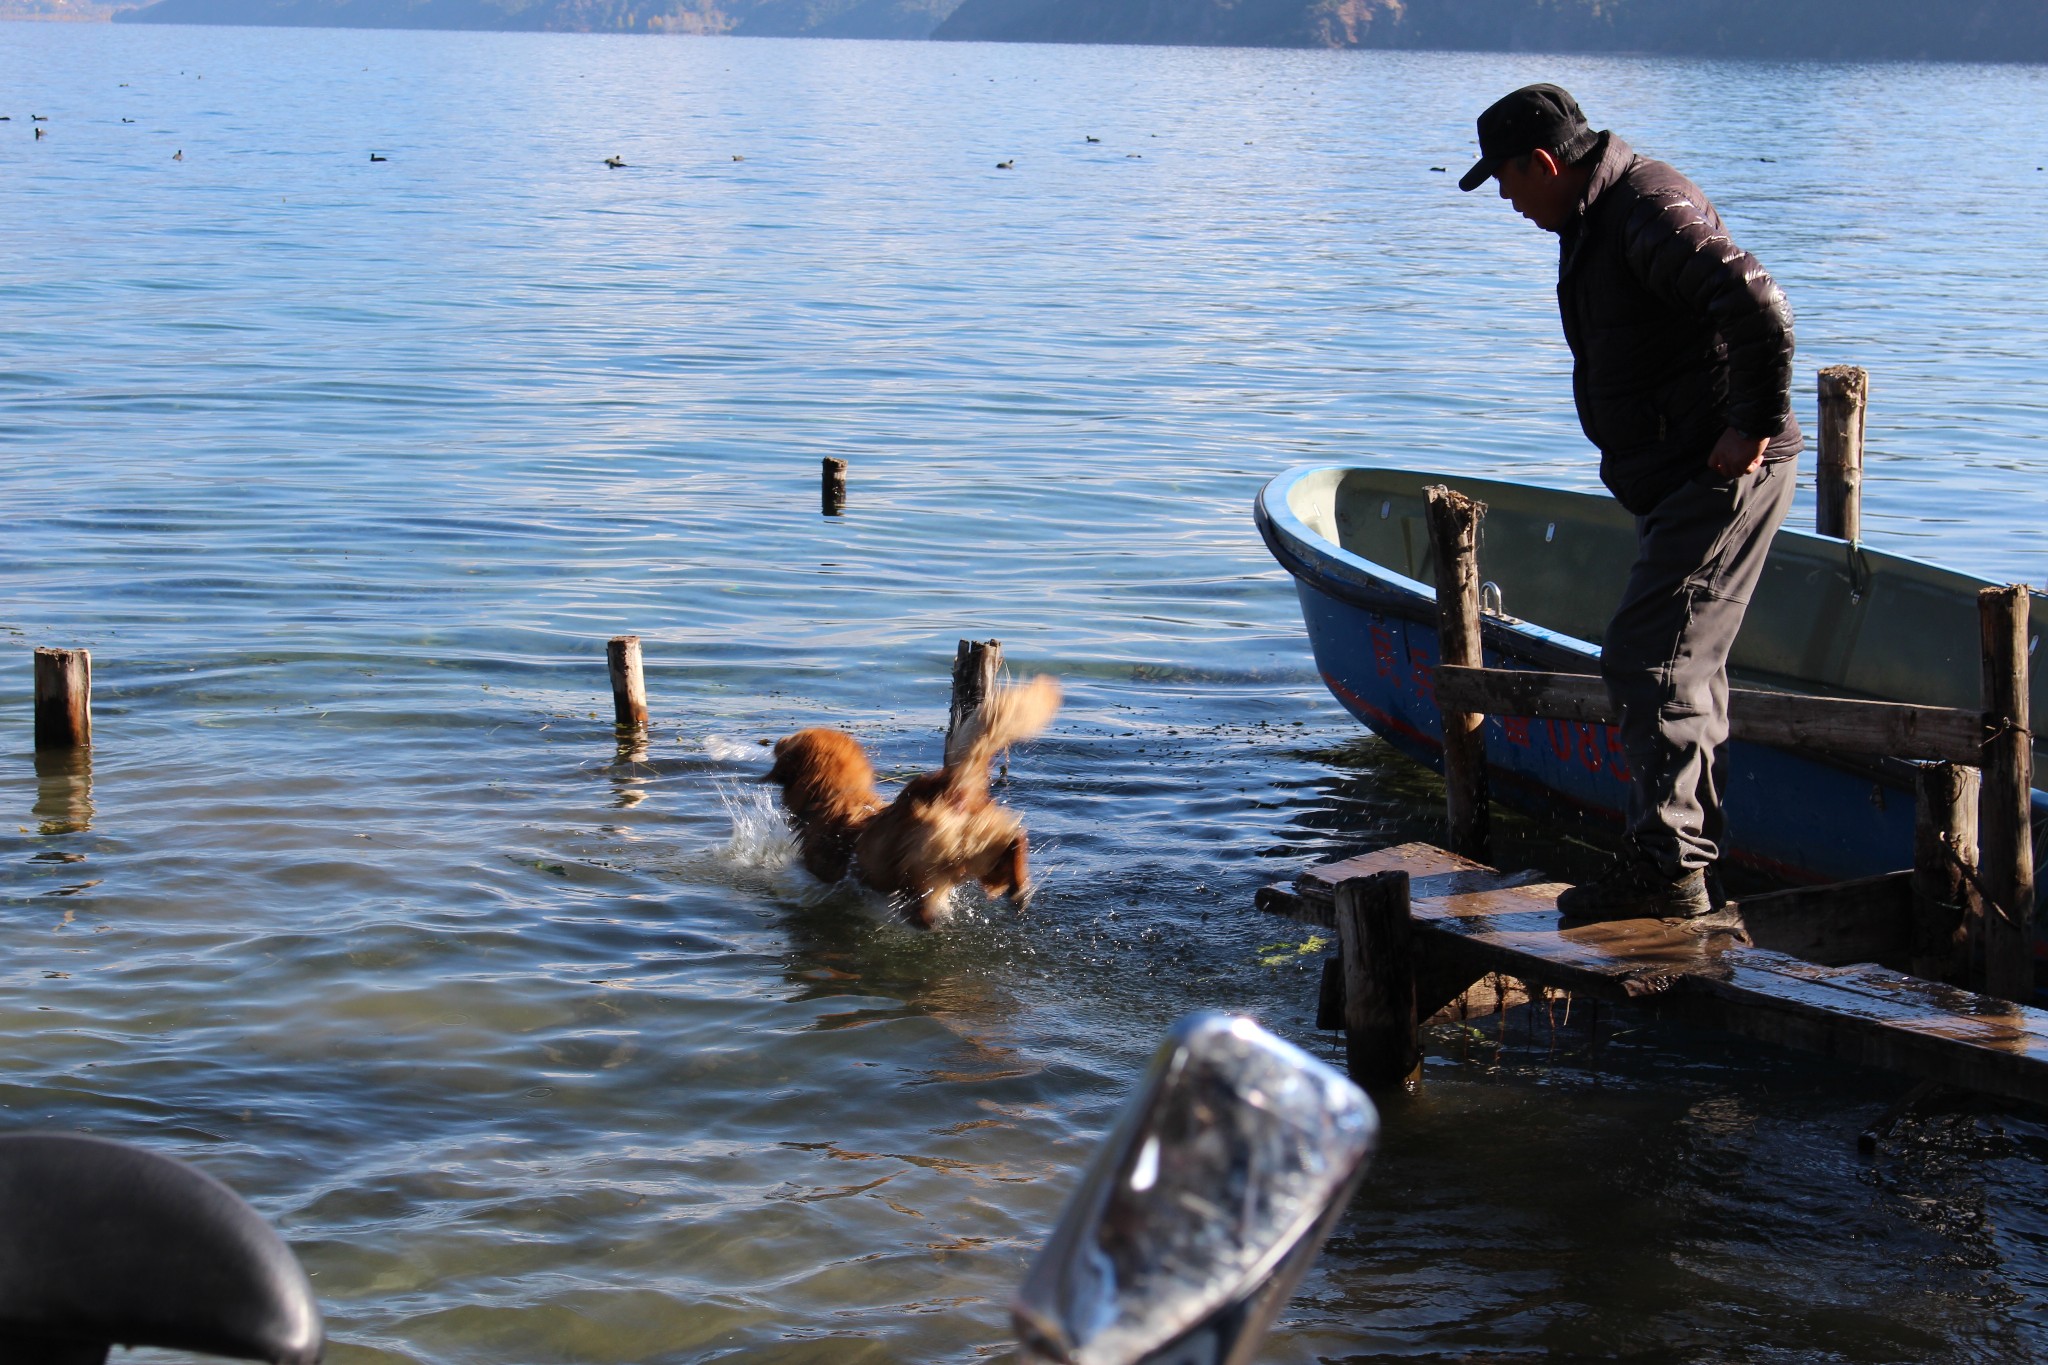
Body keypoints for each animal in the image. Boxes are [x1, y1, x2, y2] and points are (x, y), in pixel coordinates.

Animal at [761, 675, 1064, 929]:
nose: (778, 743)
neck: (837, 797)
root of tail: (952, 787)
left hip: (927, 851)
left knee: (922, 892)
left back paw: (922, 916)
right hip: (979, 848)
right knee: (1015, 840)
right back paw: (1018, 889)